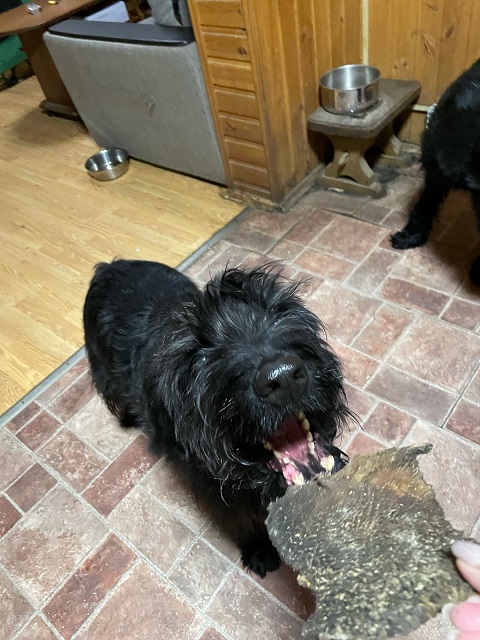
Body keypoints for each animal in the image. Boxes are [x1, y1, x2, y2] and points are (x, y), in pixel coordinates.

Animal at [83, 259, 351, 577]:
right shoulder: (212, 486)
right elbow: (240, 519)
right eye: (198, 354)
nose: (282, 376)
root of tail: (107, 266)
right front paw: (259, 550)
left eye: (277, 310)